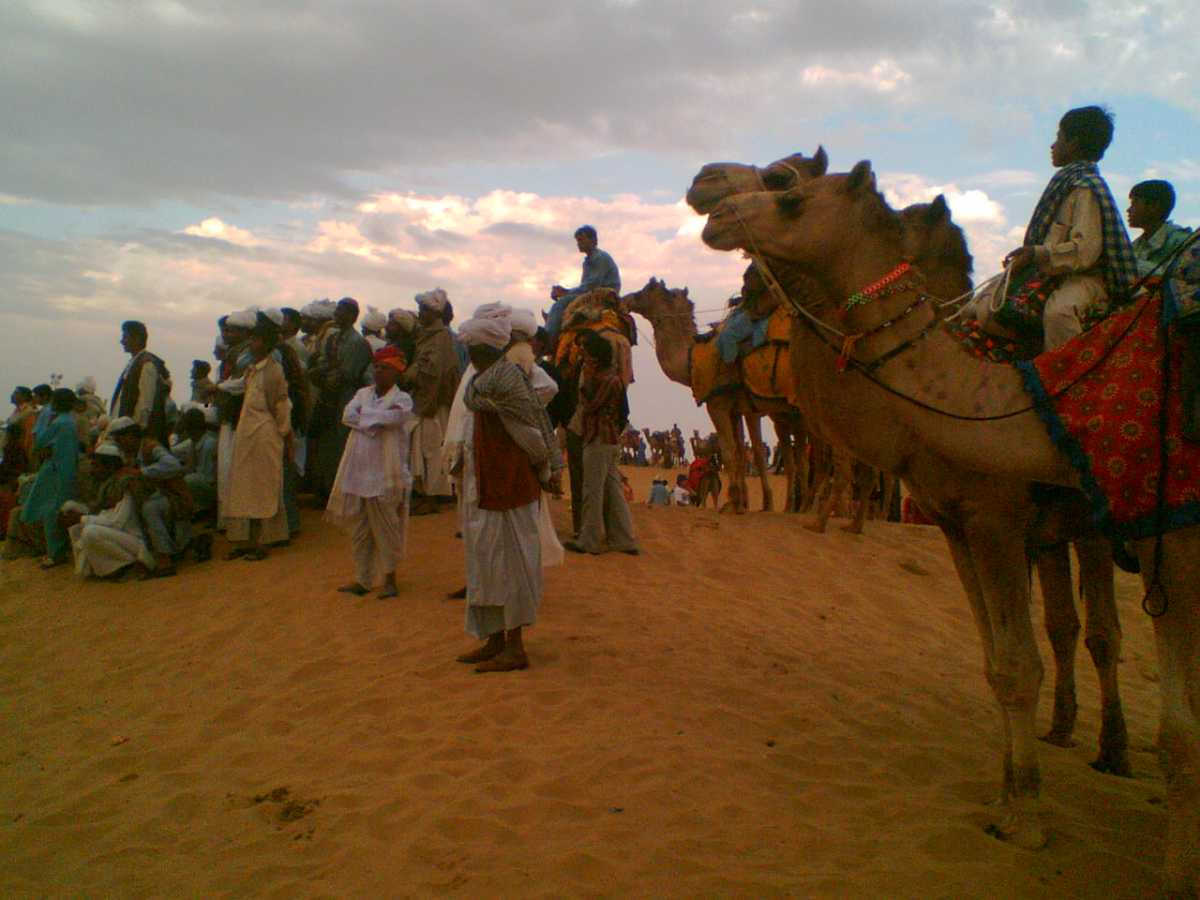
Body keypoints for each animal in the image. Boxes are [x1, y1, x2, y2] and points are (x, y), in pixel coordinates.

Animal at [700, 164, 1200, 897]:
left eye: (787, 185)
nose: (712, 204)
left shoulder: (1030, 522)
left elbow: (1041, 673)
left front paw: (1030, 822)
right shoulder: (958, 524)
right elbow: (999, 665)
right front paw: (1006, 797)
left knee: (1103, 632)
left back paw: (1110, 751)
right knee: (1077, 628)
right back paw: (1071, 735)